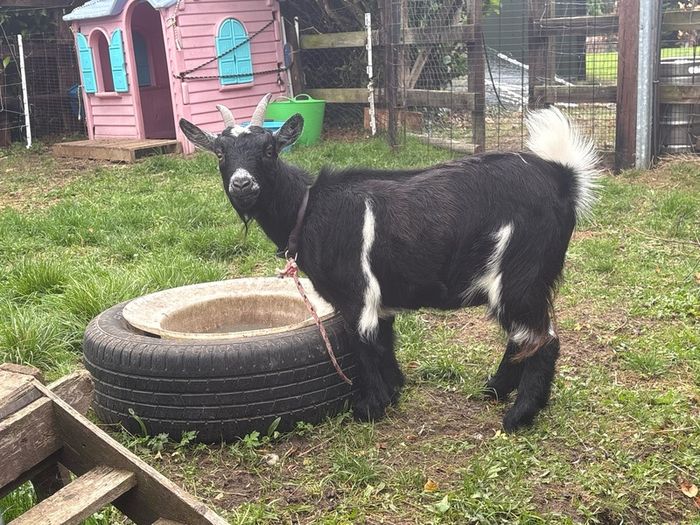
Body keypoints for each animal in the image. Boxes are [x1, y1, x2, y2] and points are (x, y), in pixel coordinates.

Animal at [178, 95, 599, 432]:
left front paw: (369, 408)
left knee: (543, 340)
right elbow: (384, 340)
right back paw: (493, 390)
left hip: (519, 275)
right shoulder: (381, 297)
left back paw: (518, 416)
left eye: (269, 149)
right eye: (220, 153)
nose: (243, 184)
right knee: (522, 337)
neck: (308, 209)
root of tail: (562, 177)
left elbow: (362, 344)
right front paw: (394, 391)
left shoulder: (356, 294)